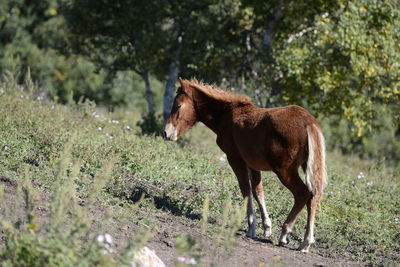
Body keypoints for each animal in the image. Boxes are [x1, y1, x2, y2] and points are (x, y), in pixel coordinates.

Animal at [164, 78, 326, 253]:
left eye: (178, 106)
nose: (166, 133)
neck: (227, 115)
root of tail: (309, 122)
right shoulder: (252, 164)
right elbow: (258, 191)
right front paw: (266, 227)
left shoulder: (235, 159)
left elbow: (246, 191)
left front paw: (251, 228)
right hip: (306, 167)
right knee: (313, 196)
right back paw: (306, 242)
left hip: (285, 170)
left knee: (303, 194)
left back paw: (286, 234)